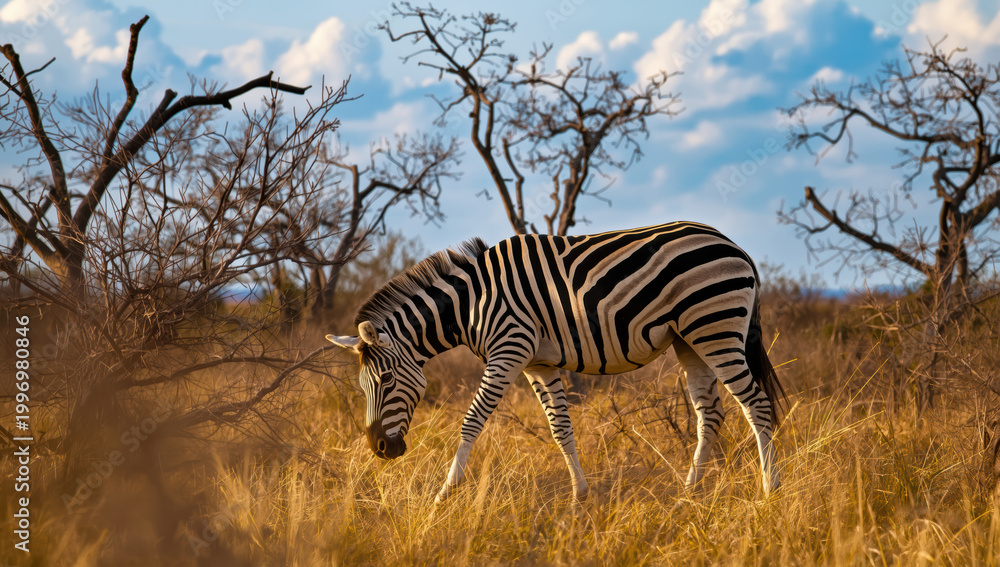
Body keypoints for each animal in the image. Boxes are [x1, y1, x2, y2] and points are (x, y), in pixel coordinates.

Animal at [326, 222, 784, 502]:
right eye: (364, 387)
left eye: (386, 380)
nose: (379, 449)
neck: (469, 303)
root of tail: (735, 246)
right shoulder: (537, 362)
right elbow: (560, 426)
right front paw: (580, 495)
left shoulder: (509, 348)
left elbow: (471, 420)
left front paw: (445, 492)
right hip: (689, 339)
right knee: (710, 412)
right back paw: (690, 491)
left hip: (715, 327)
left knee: (756, 405)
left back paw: (770, 490)